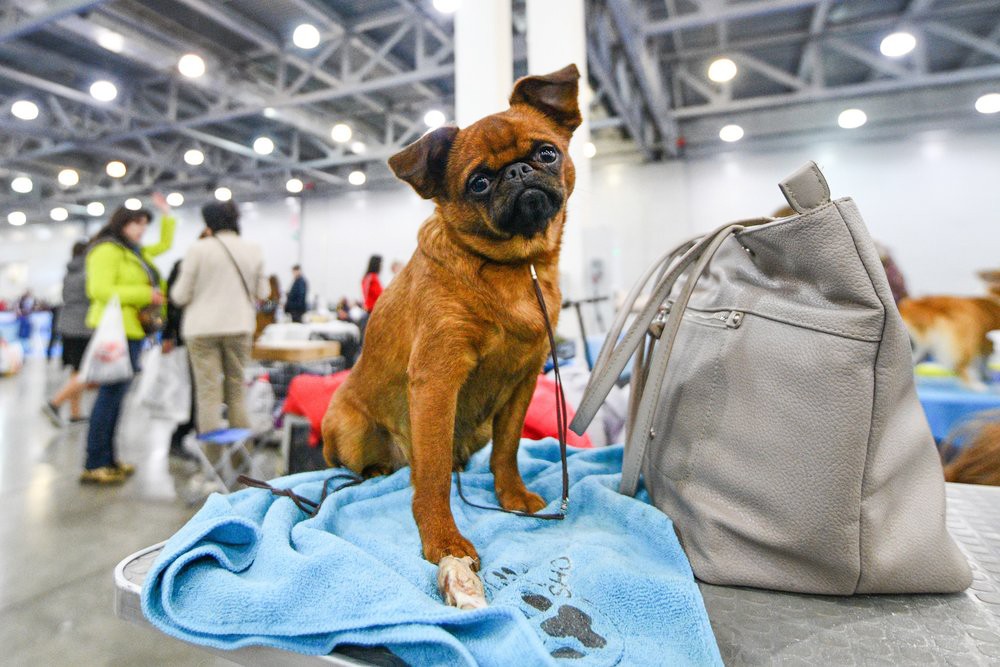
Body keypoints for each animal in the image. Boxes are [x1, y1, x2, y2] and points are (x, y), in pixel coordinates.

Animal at [324, 68, 584, 588]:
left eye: (547, 153)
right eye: (478, 182)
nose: (518, 172)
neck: (516, 269)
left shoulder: (523, 382)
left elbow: (508, 450)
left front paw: (511, 496)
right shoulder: (437, 381)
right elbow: (434, 475)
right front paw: (442, 539)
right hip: (348, 427)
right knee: (387, 465)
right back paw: (378, 473)